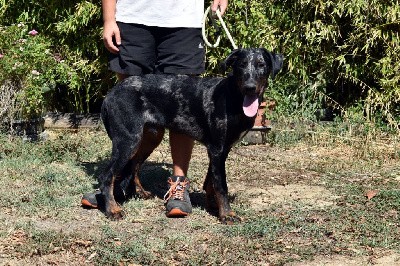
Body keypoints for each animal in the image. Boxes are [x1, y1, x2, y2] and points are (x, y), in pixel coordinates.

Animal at [98, 48, 282, 223]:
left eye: (261, 65)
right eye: (241, 65)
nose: (249, 87)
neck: (233, 96)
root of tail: (109, 94)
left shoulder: (220, 151)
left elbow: (211, 182)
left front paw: (213, 206)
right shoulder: (217, 150)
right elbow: (221, 185)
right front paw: (227, 214)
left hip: (150, 137)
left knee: (133, 166)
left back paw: (140, 193)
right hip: (128, 140)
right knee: (107, 176)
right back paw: (112, 210)